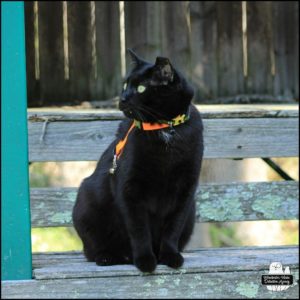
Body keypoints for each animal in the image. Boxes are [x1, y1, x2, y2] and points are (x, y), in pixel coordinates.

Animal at [72, 48, 204, 272]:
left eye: (141, 88)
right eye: (126, 85)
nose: (122, 98)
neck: (166, 129)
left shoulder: (186, 191)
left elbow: (173, 228)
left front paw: (170, 256)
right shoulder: (130, 189)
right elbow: (139, 229)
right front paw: (145, 260)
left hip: (192, 211)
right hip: (86, 199)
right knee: (91, 249)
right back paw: (110, 256)